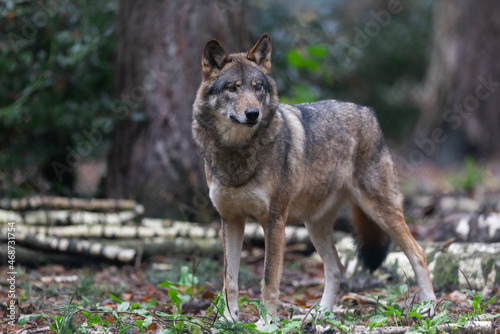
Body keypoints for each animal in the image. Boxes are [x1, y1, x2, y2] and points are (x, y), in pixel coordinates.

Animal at [191, 33, 434, 320]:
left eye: (257, 87)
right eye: (232, 88)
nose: (253, 114)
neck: (236, 153)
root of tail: (369, 112)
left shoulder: (274, 222)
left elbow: (269, 281)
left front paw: (267, 322)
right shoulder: (230, 221)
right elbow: (229, 281)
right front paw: (228, 320)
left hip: (381, 212)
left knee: (419, 254)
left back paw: (429, 306)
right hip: (315, 226)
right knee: (337, 267)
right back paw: (321, 315)